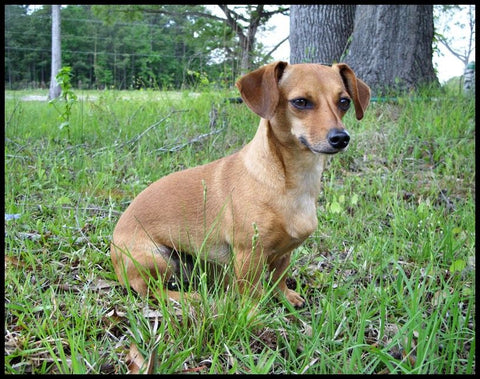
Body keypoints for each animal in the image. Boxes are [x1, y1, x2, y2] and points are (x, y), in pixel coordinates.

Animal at [110, 60, 370, 308]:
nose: (341, 138)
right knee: (151, 291)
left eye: (344, 101)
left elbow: (279, 277)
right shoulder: (248, 254)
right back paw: (190, 298)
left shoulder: (284, 253)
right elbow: (251, 294)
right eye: (300, 102)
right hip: (158, 258)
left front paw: (284, 297)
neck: (292, 181)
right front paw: (256, 314)